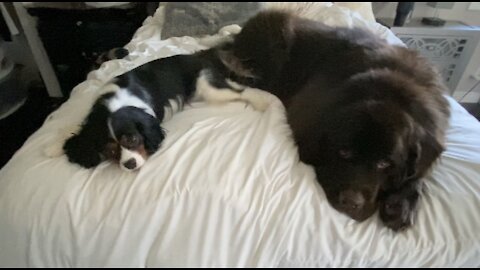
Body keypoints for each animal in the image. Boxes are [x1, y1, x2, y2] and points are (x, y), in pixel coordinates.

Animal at [218, 10, 450, 230]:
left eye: (385, 163)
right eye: (344, 152)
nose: (351, 202)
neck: (390, 90)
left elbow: (419, 174)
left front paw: (401, 205)